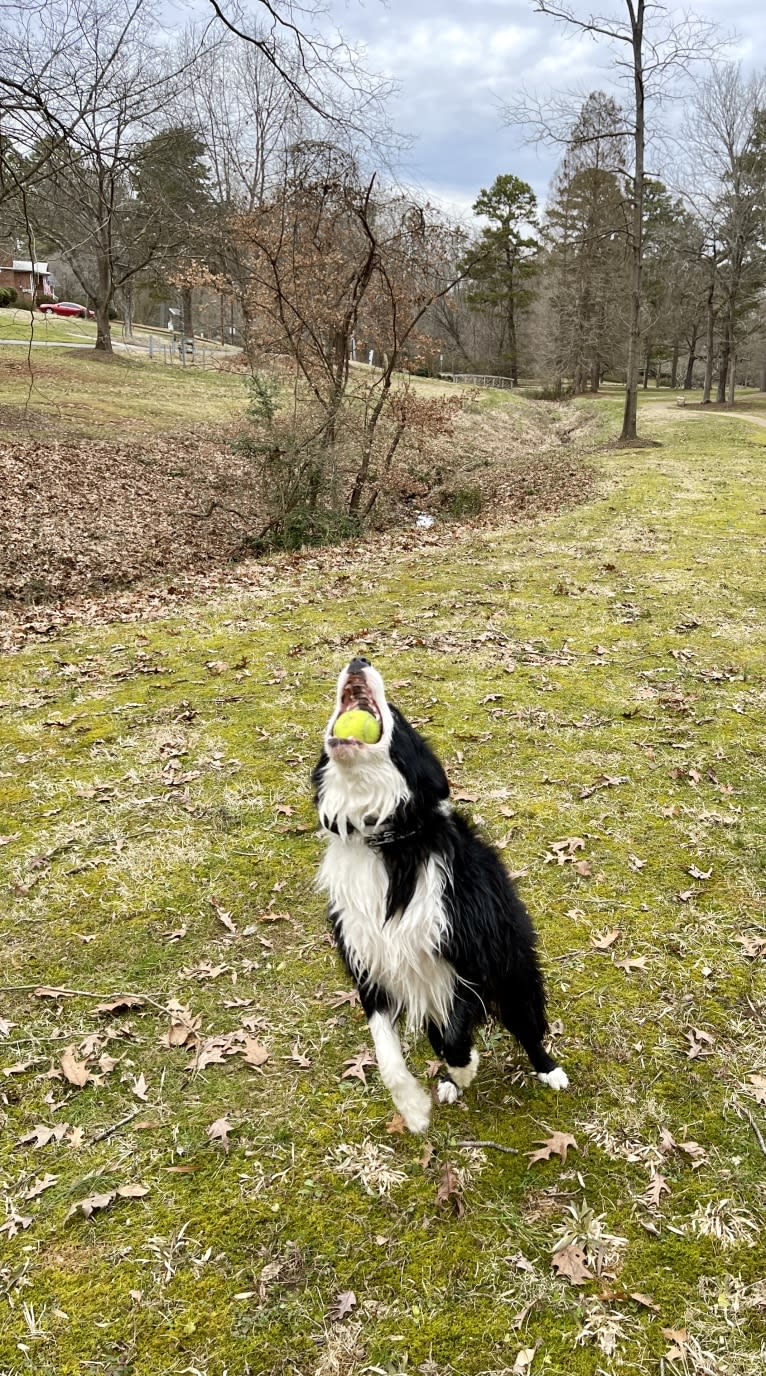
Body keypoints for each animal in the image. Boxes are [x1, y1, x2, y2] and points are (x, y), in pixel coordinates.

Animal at [312, 660, 566, 1133]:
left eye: (396, 713)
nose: (359, 661)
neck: (386, 840)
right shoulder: (370, 967)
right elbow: (388, 1057)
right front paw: (414, 1108)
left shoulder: (469, 959)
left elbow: (455, 1034)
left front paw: (465, 1069)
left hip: (516, 980)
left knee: (527, 1029)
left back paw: (547, 1070)